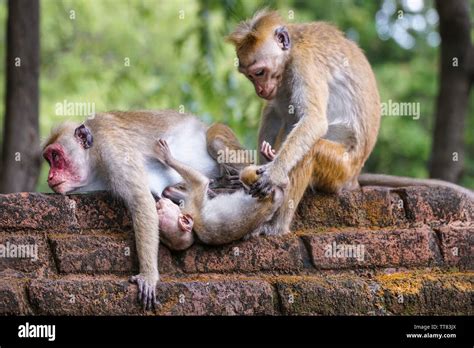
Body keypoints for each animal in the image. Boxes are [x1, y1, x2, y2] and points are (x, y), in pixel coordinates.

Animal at [152, 137, 282, 249]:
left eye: (160, 211)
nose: (158, 204)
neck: (194, 232)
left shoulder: (191, 207)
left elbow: (198, 184)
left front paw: (168, 158)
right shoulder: (193, 209)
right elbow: (200, 184)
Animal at [228, 10, 472, 237]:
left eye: (260, 72)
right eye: (250, 76)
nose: (260, 90)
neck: (292, 51)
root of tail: (354, 177)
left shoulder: (304, 65)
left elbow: (314, 122)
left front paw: (273, 172)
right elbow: (276, 112)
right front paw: (264, 160)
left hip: (340, 169)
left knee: (311, 150)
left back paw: (277, 226)